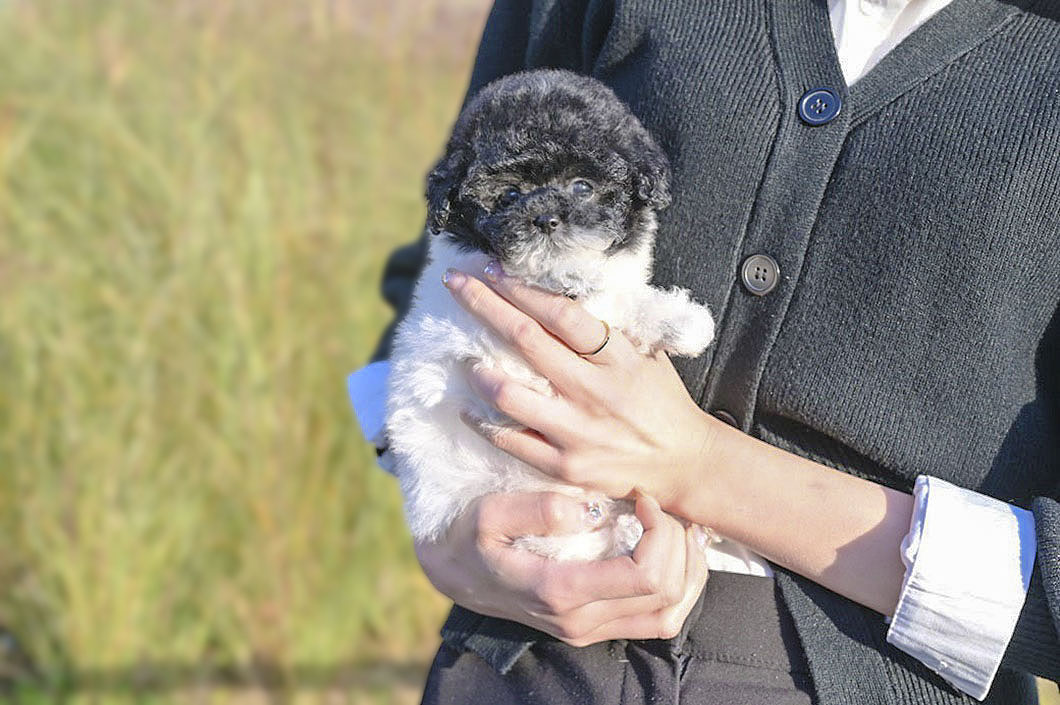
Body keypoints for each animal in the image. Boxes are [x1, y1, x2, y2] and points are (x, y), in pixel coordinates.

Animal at [385, 70, 715, 561]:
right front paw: (572, 275)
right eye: (508, 194)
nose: (544, 219)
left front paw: (684, 322)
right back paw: (627, 532)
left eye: (582, 186)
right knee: (562, 546)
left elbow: (624, 298)